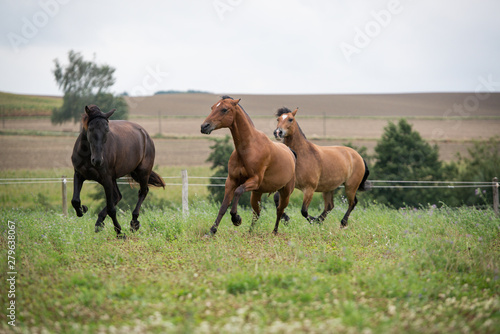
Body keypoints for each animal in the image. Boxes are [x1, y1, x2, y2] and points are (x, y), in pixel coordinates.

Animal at [70, 105, 165, 236]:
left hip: (142, 172)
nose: (97, 160)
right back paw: (99, 223)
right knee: (118, 196)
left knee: (142, 192)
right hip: (114, 178)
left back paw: (134, 223)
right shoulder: (79, 174)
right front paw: (82, 209)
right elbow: (75, 200)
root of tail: (145, 134)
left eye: (107, 130)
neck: (87, 154)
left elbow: (111, 209)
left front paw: (119, 232)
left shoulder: (106, 179)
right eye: (90, 129)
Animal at [200, 95, 296, 234]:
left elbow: (238, 191)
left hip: (285, 193)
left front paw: (236, 218)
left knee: (279, 210)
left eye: (224, 109)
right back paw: (250, 233)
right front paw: (212, 231)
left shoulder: (254, 180)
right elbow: (223, 206)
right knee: (257, 213)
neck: (249, 149)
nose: (204, 126)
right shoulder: (231, 181)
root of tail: (291, 152)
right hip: (257, 194)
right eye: (212, 107)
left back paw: (274, 232)